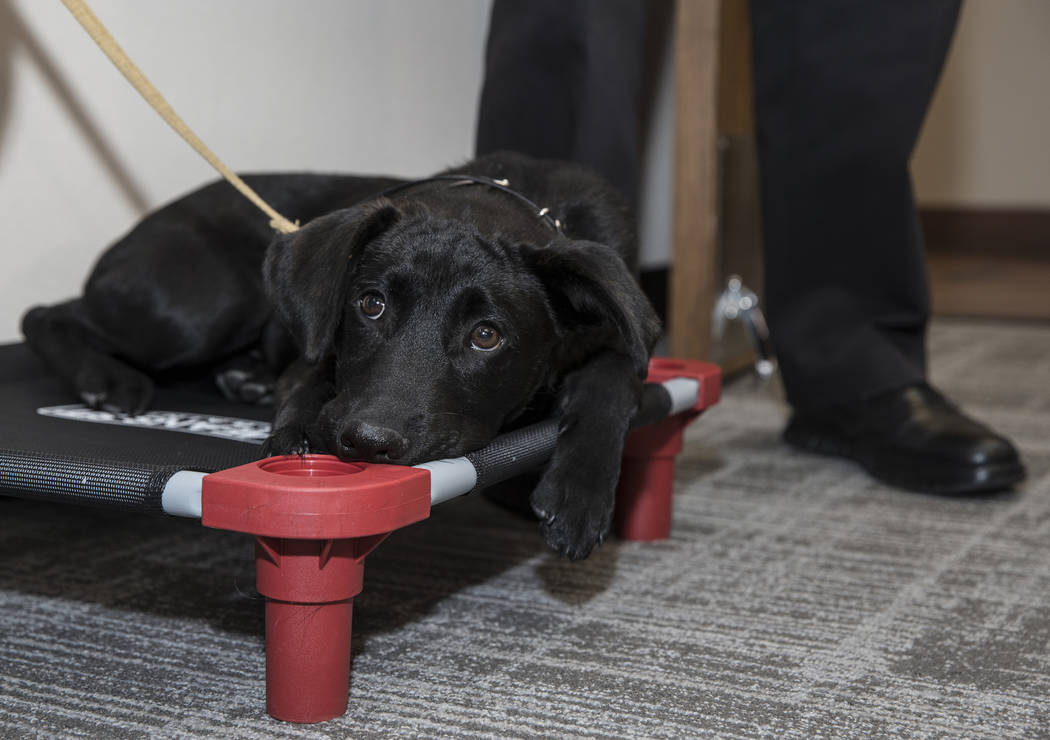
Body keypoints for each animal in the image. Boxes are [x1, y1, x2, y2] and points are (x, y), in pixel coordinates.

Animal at [24, 153, 659, 558]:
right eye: (370, 305)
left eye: (487, 336)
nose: (367, 441)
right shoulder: (312, 353)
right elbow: (308, 386)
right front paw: (299, 434)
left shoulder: (617, 341)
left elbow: (613, 380)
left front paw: (580, 492)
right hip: (197, 309)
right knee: (45, 313)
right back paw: (107, 378)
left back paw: (242, 377)